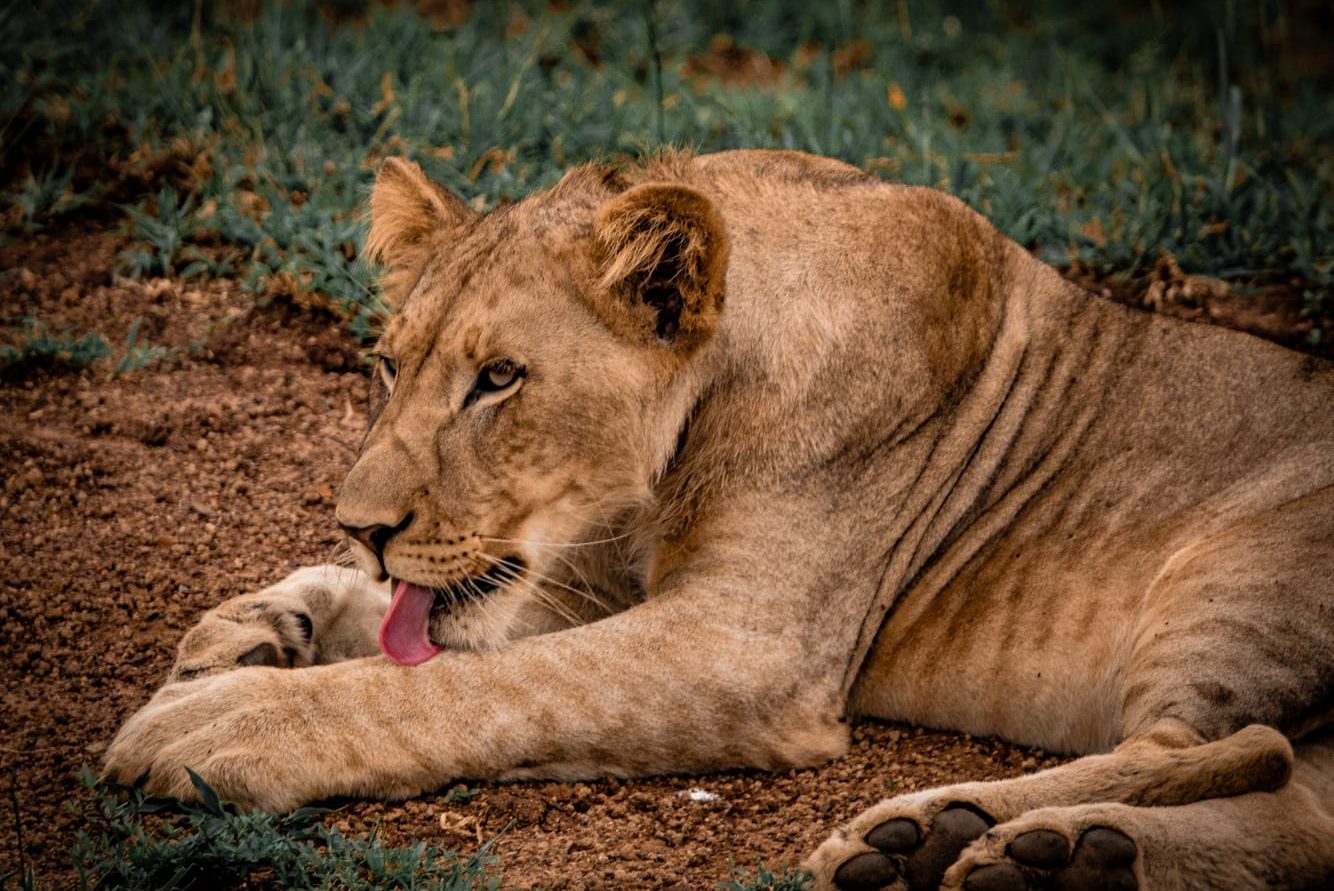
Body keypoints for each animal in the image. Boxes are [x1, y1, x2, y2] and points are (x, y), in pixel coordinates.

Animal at [105, 149, 1334, 890]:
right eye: (389, 366)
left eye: (498, 378)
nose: (357, 521)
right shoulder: (576, 581)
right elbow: (418, 622)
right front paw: (250, 633)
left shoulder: (746, 645)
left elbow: (471, 685)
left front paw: (224, 721)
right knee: (1299, 804)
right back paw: (1053, 855)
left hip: (1242, 571)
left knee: (1219, 743)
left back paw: (941, 828)